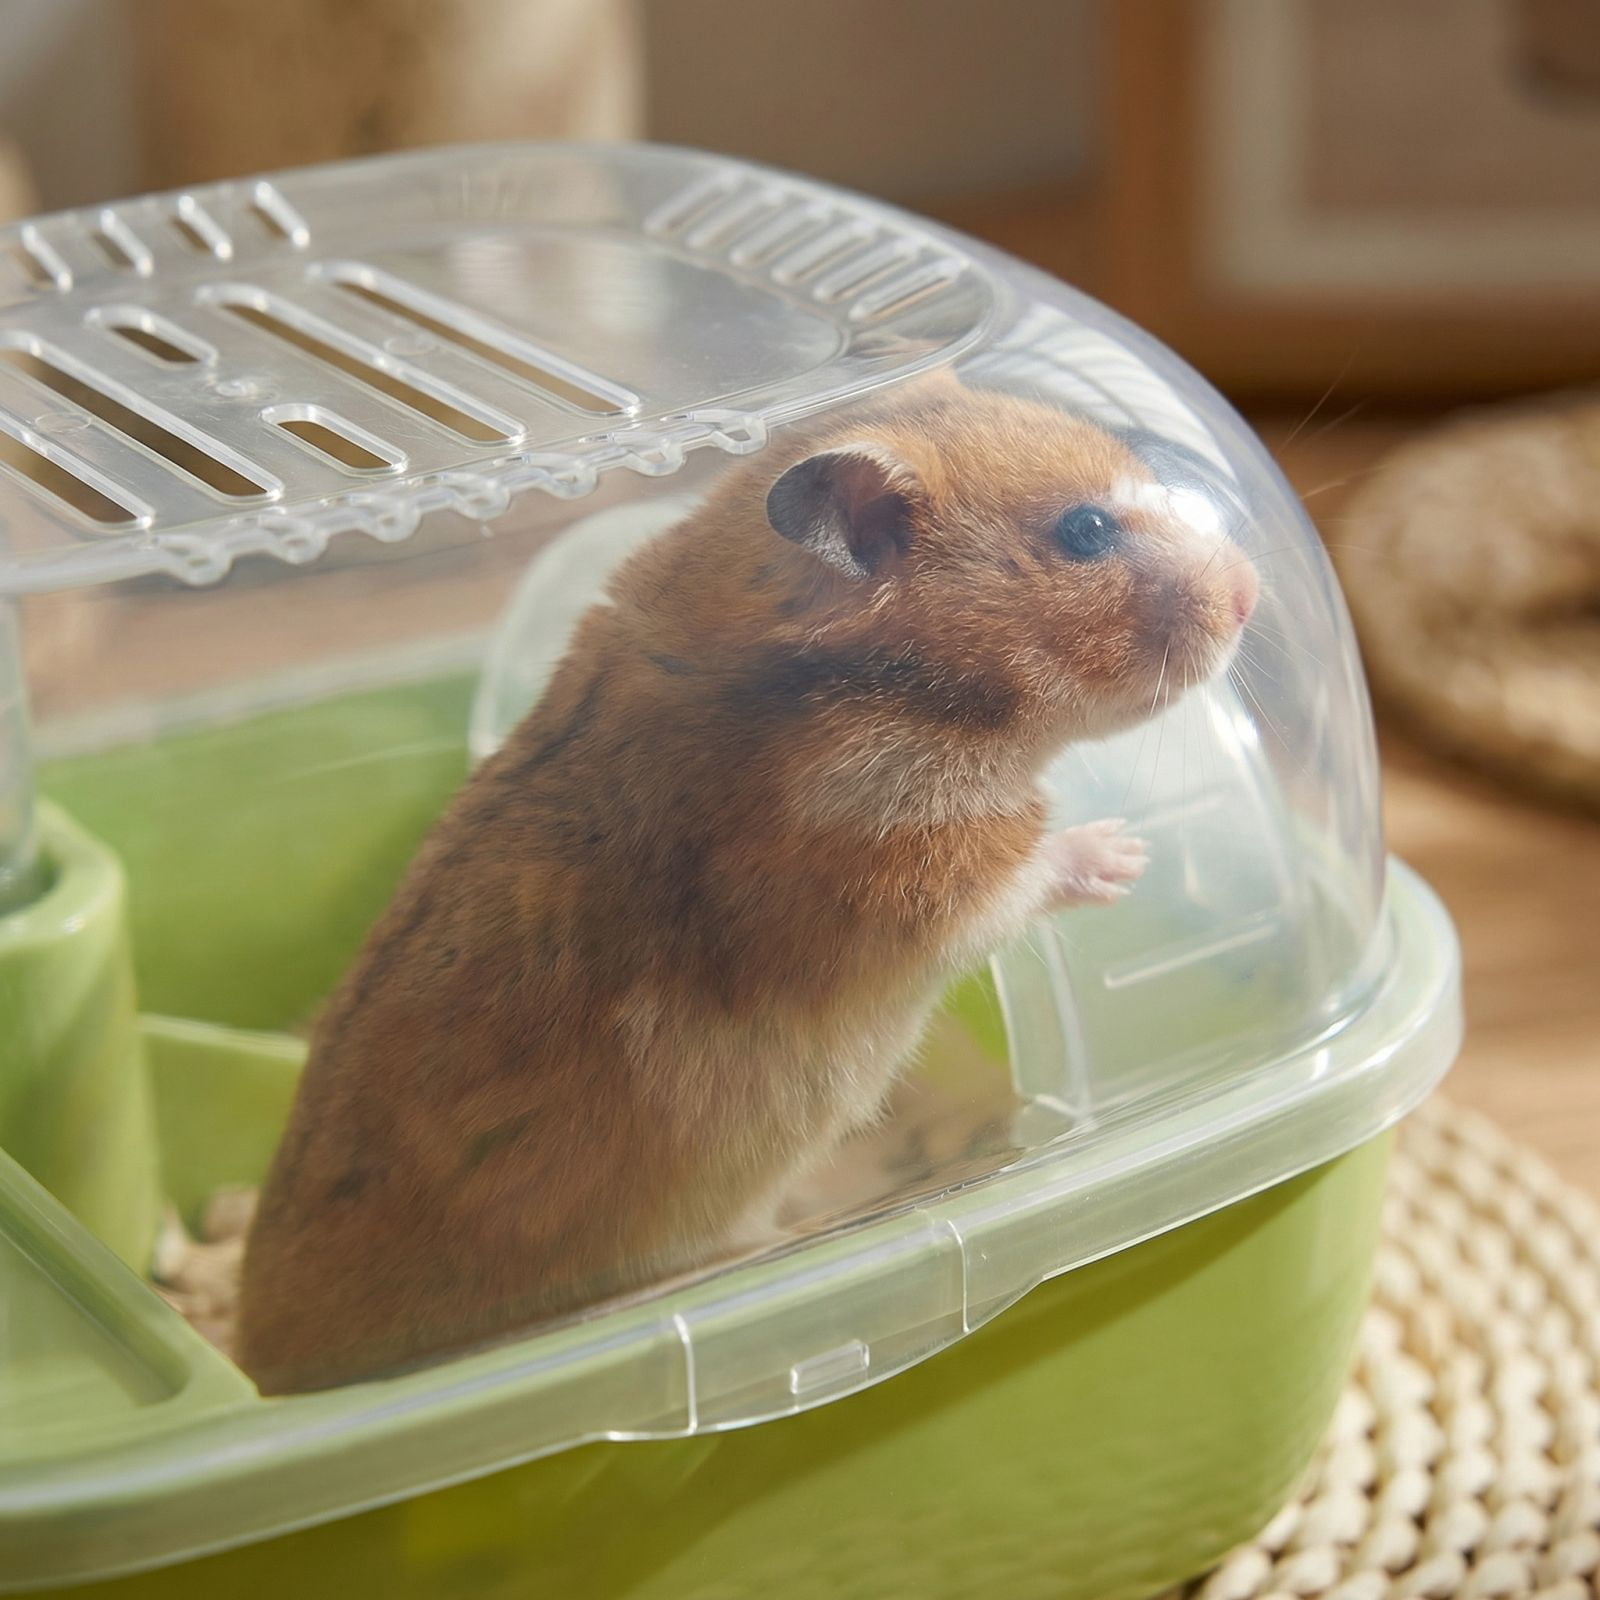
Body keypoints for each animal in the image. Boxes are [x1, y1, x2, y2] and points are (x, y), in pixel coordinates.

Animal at [235, 373, 1259, 1394]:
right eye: (1086, 530)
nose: (1251, 592)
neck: (885, 684)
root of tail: (257, 1357)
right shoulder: (887, 868)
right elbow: (1014, 876)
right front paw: (1125, 855)